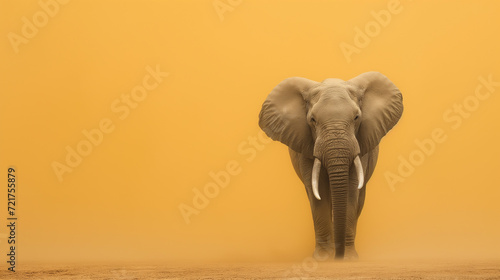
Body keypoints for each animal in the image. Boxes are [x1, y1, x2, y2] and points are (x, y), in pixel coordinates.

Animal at [258, 71, 402, 260]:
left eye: (356, 118)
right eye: (312, 120)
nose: (338, 257)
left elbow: (351, 190)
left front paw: (348, 259)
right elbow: (318, 193)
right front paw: (322, 258)